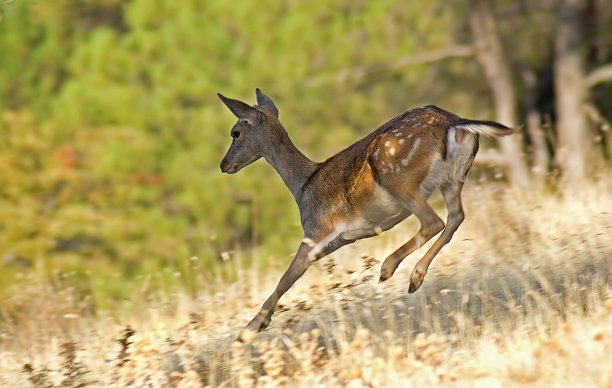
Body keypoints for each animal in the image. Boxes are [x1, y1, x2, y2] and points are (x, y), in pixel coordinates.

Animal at [220, 88, 516, 336]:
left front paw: (250, 328)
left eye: (235, 132)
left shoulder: (317, 229)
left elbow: (286, 277)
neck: (302, 186)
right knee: (456, 217)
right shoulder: (336, 240)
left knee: (433, 221)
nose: (224, 165)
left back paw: (389, 268)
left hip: (397, 177)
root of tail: (452, 123)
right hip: (454, 178)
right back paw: (415, 277)